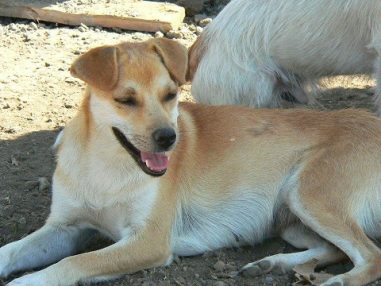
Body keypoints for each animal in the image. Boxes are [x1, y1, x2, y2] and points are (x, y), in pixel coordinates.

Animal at [1, 38, 380, 286]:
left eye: (170, 95)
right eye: (126, 100)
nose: (169, 138)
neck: (106, 165)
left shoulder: (149, 241)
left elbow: (73, 263)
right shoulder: (64, 228)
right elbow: (12, 250)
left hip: (308, 195)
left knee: (370, 256)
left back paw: (333, 281)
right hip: (291, 218)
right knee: (332, 250)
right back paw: (272, 264)